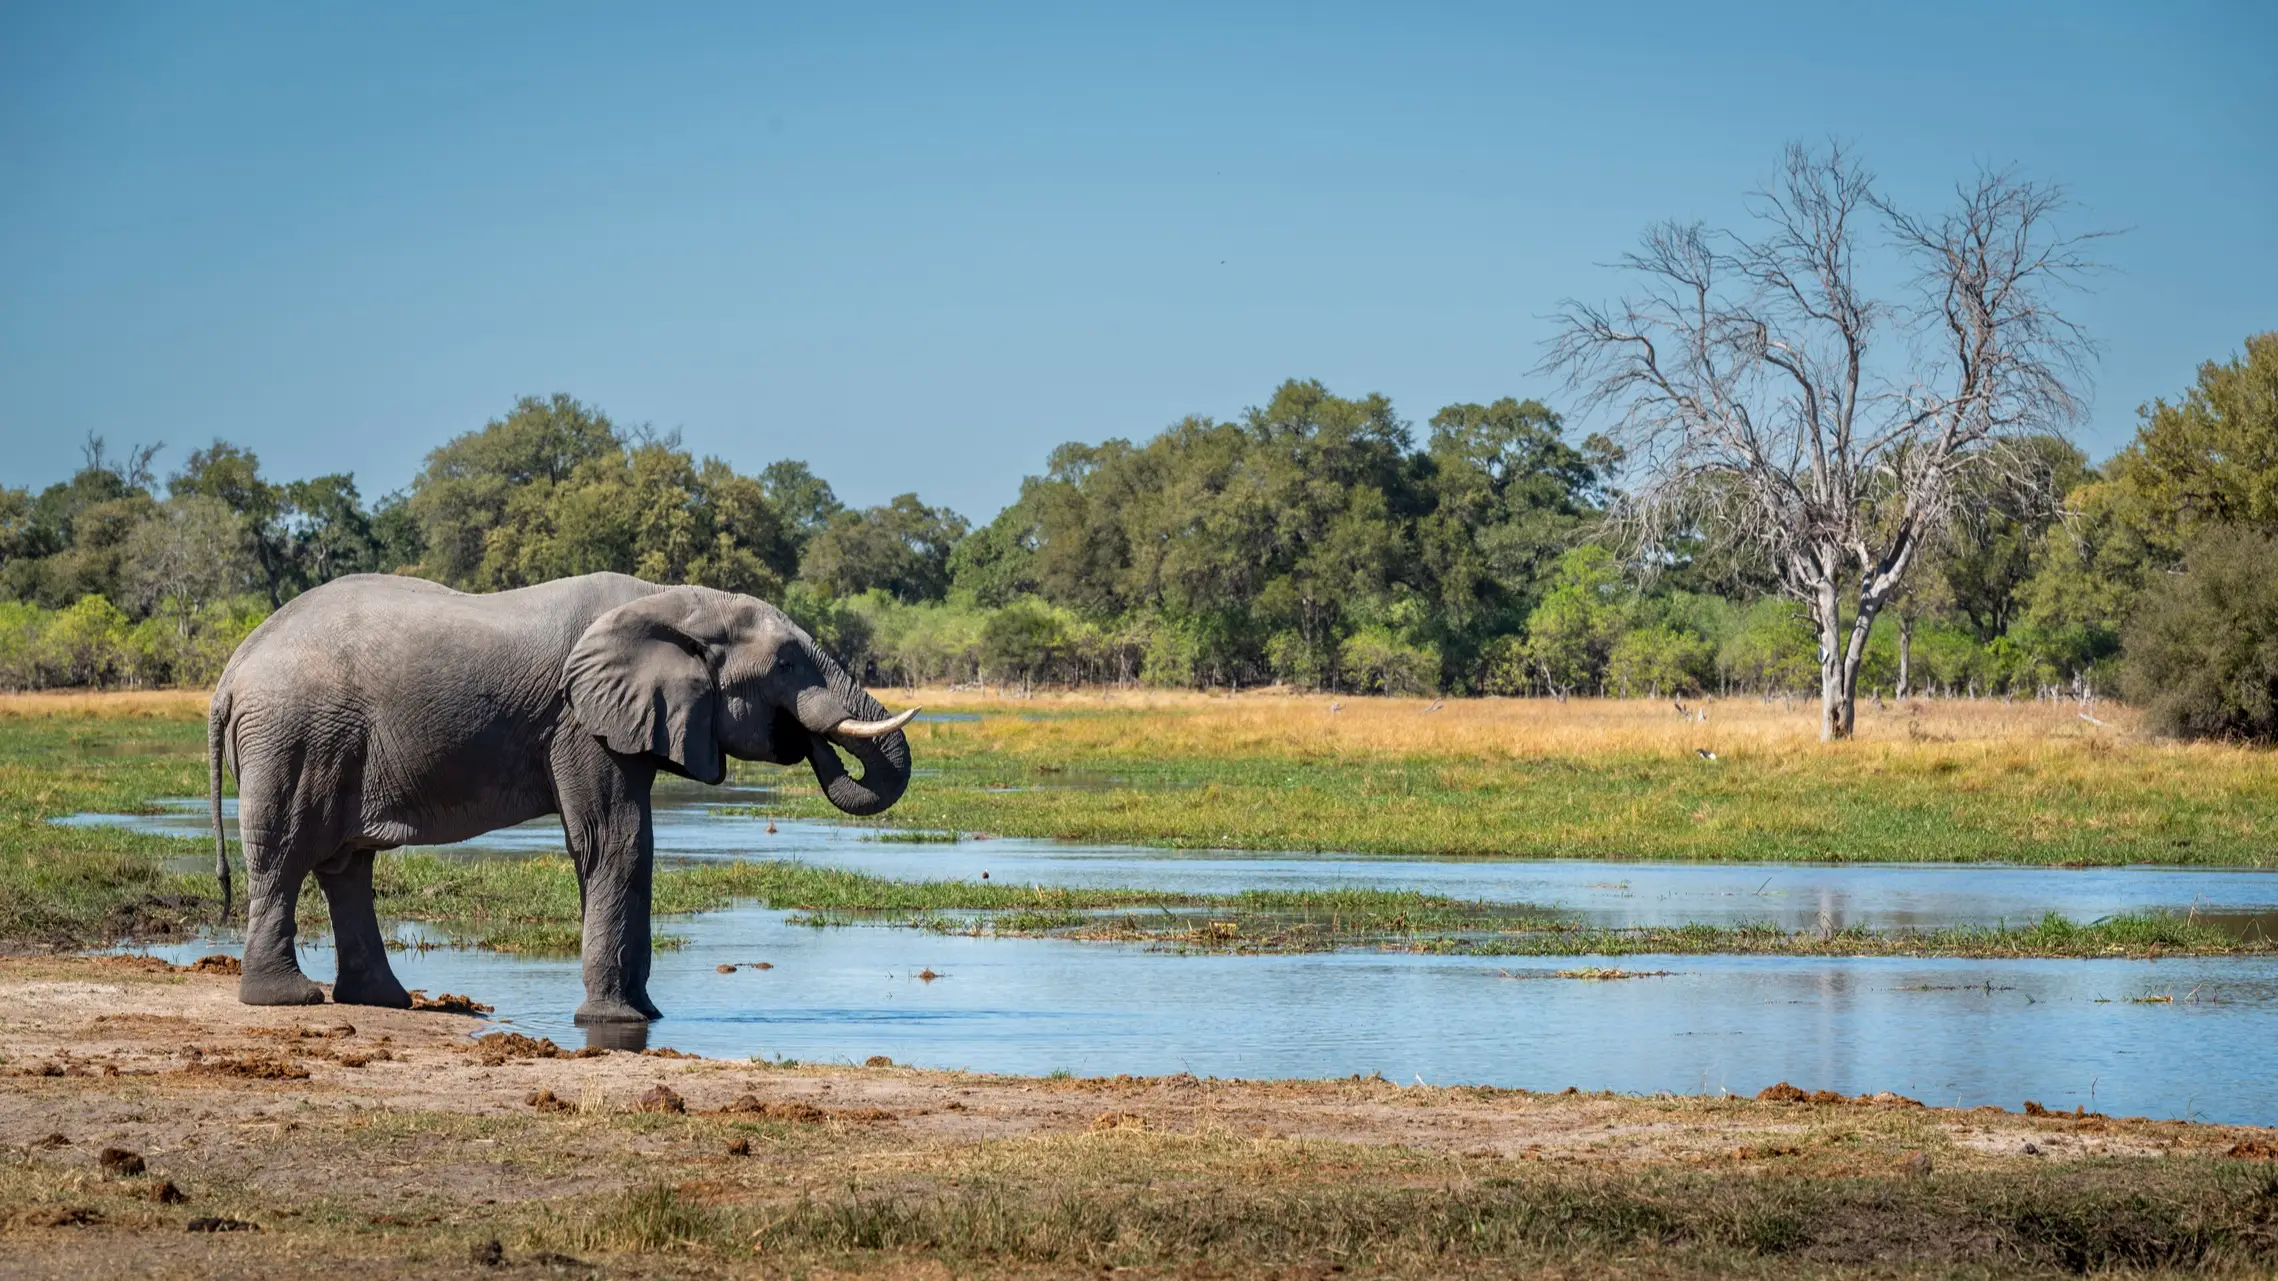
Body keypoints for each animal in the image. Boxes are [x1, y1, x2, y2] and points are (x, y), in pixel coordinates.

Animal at [205, 572, 915, 1023]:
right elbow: (616, 840)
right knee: (287, 852)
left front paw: (647, 1014)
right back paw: (289, 1000)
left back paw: (382, 1001)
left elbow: (632, 847)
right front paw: (616, 1022)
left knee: (345, 865)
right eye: (788, 664)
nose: (805, 736)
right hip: (294, 736)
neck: (673, 601)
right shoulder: (576, 720)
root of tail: (232, 671)